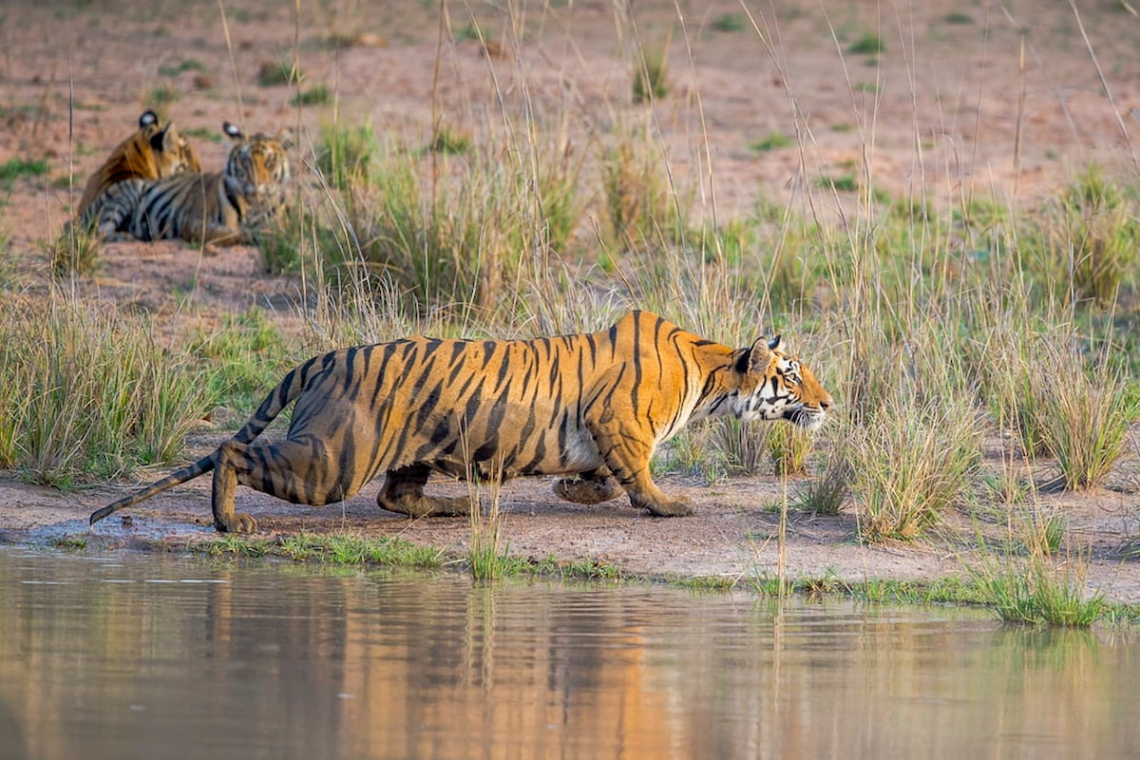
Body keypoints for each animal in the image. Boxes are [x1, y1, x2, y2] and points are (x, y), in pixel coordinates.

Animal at [89, 311, 832, 533]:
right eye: (793, 374)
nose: (828, 404)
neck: (711, 375)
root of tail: (326, 354)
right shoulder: (618, 423)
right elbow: (639, 475)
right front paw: (668, 505)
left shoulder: (601, 433)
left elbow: (601, 474)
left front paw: (574, 490)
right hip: (333, 458)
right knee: (231, 453)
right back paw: (229, 522)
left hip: (409, 450)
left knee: (395, 496)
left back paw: (450, 509)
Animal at [106, 122, 292, 246]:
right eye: (246, 161)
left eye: (269, 161)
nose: (256, 184)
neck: (253, 205)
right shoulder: (193, 222)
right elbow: (225, 233)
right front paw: (259, 235)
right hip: (124, 196)